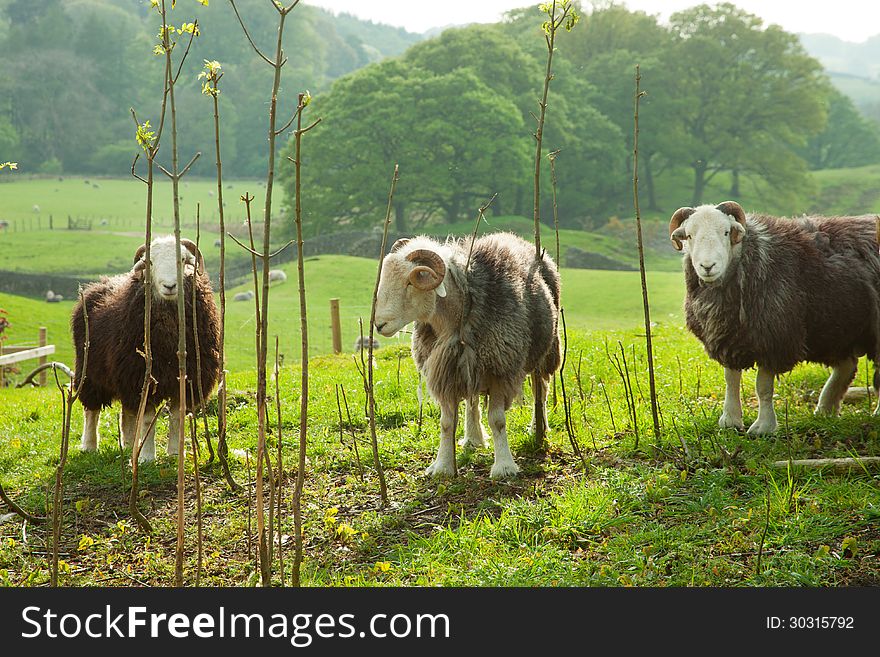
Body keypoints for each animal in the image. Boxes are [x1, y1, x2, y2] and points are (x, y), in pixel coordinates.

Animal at [73, 236, 223, 462]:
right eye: (150, 262)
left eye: (182, 259)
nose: (169, 286)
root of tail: (98, 284)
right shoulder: (141, 376)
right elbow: (147, 419)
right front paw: (146, 457)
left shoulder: (184, 380)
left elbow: (176, 416)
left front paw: (175, 453)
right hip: (89, 372)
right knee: (92, 410)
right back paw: (90, 445)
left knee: (126, 412)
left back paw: (128, 445)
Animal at [374, 233, 560, 480]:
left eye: (410, 282)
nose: (379, 324)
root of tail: (511, 236)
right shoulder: (445, 371)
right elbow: (446, 423)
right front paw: (442, 466)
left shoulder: (500, 369)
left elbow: (497, 421)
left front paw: (504, 467)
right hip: (469, 364)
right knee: (473, 401)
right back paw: (473, 439)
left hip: (545, 351)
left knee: (541, 391)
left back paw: (538, 428)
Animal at [672, 200, 880, 436]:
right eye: (689, 235)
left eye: (726, 232)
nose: (707, 267)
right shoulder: (729, 338)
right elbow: (731, 381)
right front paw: (730, 421)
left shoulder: (774, 337)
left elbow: (763, 387)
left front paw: (763, 427)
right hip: (836, 327)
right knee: (847, 366)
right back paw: (825, 410)